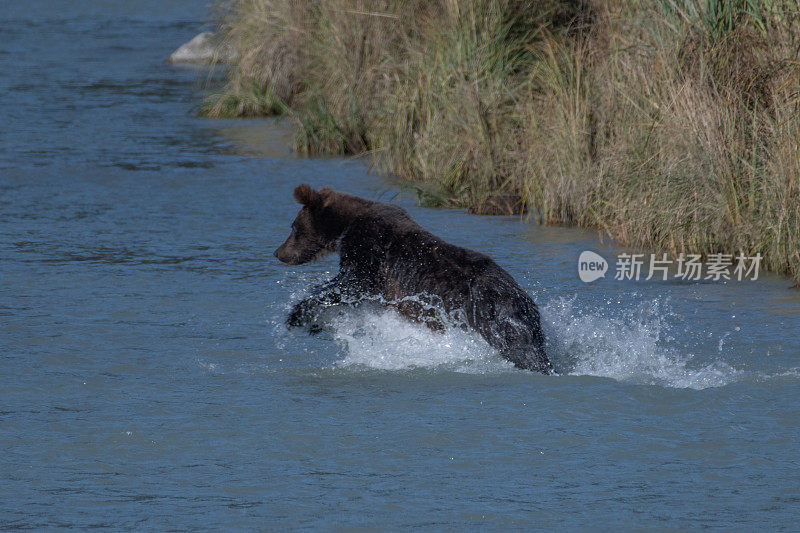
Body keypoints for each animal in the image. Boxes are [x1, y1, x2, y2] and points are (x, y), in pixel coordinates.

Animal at [276, 185, 552, 372]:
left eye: (293, 227)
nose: (278, 253)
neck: (345, 227)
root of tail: (521, 301)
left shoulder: (369, 250)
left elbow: (351, 285)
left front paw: (297, 314)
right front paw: (317, 321)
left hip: (491, 317)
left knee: (520, 351)